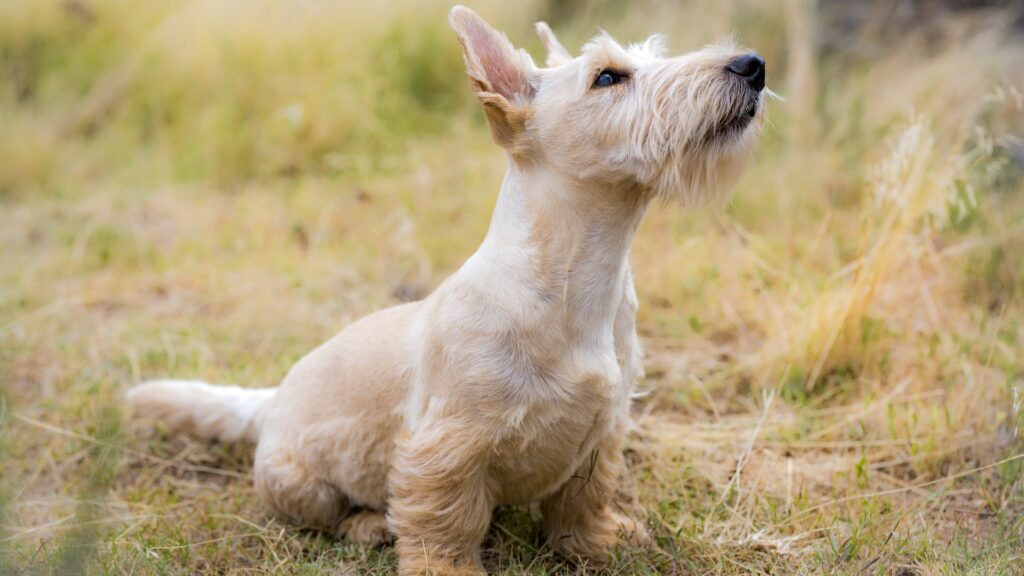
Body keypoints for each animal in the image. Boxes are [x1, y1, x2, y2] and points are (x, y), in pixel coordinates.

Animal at [128, 6, 765, 569]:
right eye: (608, 76)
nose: (752, 64)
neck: (581, 280)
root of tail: (270, 400)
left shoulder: (602, 433)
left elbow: (583, 501)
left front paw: (597, 544)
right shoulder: (447, 448)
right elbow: (446, 524)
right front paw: (449, 568)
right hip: (296, 482)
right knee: (329, 514)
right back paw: (368, 524)